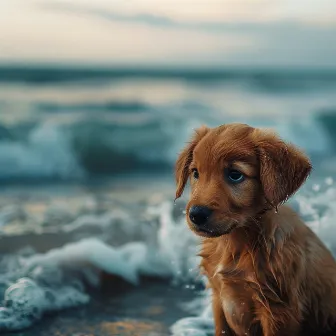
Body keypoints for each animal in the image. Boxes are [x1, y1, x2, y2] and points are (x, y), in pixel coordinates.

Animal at [175, 123, 336, 336]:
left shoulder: (278, 311)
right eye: (195, 173)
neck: (235, 243)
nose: (196, 214)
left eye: (235, 175)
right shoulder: (219, 301)